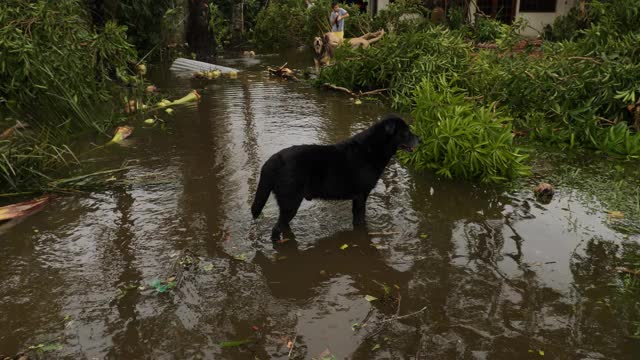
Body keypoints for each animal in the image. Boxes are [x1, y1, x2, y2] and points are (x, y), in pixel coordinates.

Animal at [250, 114, 420, 240]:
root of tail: (273, 160)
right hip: (290, 201)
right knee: (276, 228)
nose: (420, 139)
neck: (372, 149)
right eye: (406, 132)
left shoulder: (357, 197)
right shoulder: (361, 195)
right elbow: (360, 219)